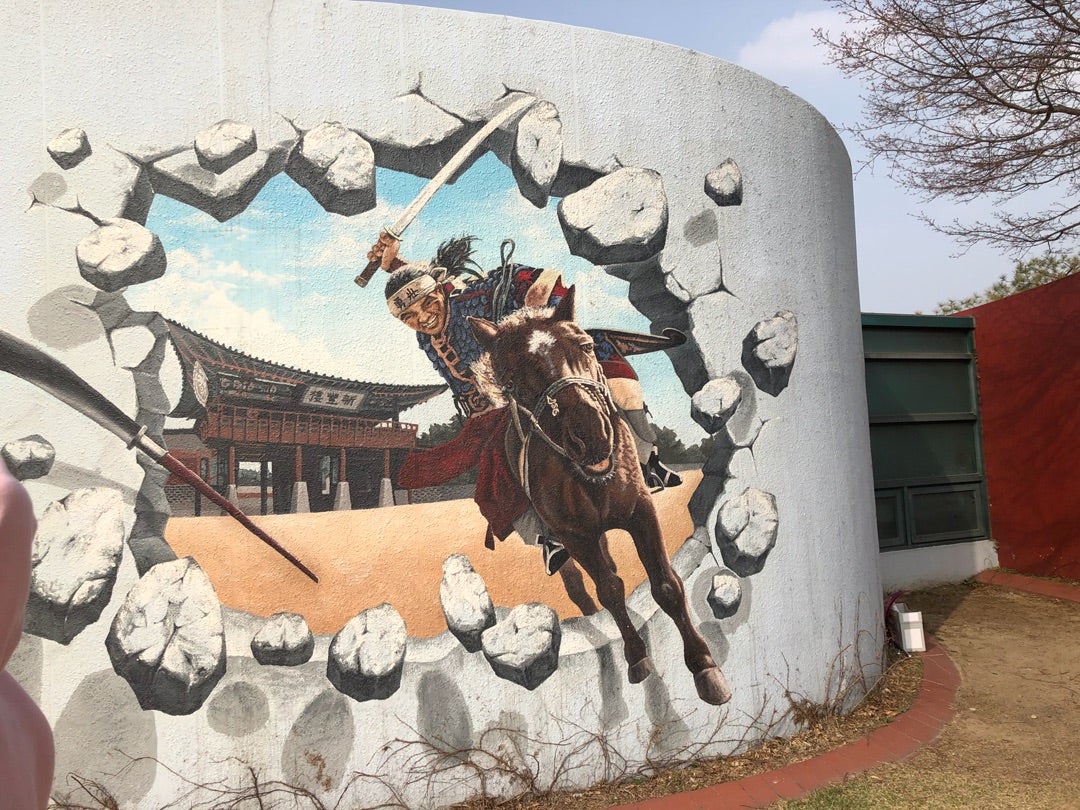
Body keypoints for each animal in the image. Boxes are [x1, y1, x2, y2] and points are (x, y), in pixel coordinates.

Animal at [468, 289, 730, 708]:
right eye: (510, 381)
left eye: (586, 346)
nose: (590, 436)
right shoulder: (576, 536)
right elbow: (609, 589)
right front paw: (637, 657)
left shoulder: (641, 512)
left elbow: (667, 585)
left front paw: (705, 667)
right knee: (581, 583)